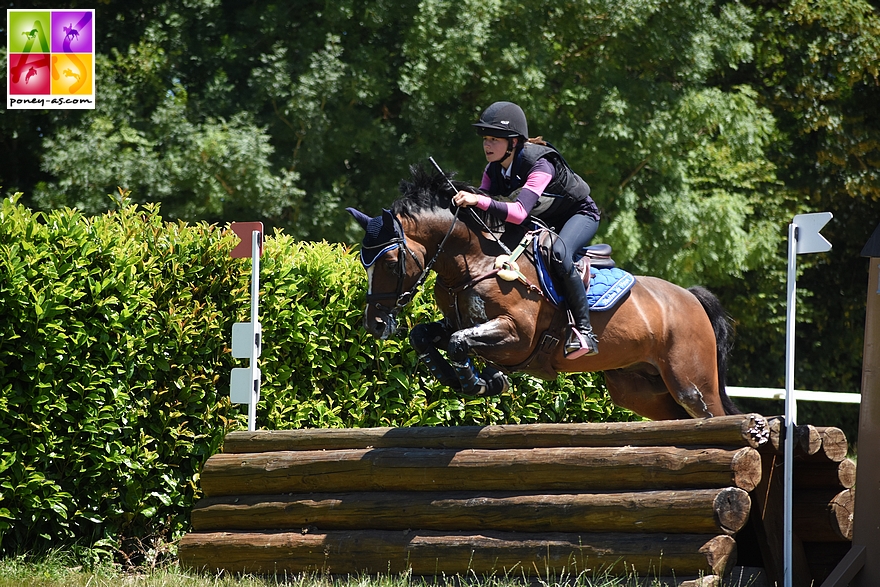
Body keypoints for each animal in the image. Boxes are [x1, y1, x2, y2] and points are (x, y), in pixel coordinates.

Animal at [348, 165, 740, 422]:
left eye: (391, 262)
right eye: (365, 264)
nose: (375, 324)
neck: (474, 260)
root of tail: (690, 298)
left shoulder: (518, 336)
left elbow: (460, 342)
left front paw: (481, 382)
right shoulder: (459, 322)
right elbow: (426, 335)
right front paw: (465, 378)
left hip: (691, 383)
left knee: (712, 414)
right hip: (637, 388)